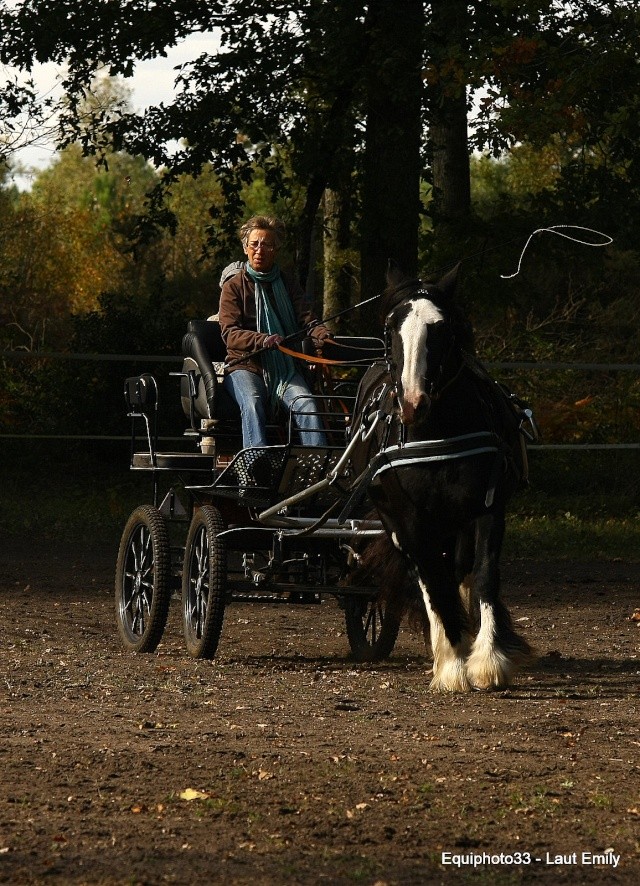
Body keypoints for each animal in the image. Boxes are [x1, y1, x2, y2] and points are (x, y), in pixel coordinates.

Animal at [348, 264, 532, 692]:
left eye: (442, 329)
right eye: (389, 328)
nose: (413, 403)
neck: (437, 430)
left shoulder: (486, 508)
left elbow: (483, 575)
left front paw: (488, 660)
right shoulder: (410, 520)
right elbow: (432, 581)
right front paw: (451, 665)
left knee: (458, 571)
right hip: (398, 525)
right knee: (427, 577)